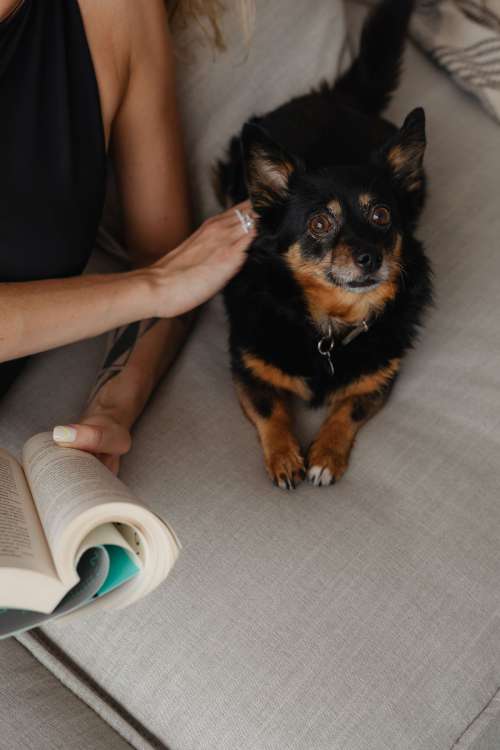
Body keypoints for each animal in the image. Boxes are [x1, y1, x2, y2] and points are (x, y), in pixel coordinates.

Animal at [217, 0, 432, 490]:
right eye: (319, 223)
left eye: (381, 216)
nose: (370, 257)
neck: (331, 327)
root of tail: (339, 98)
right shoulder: (247, 368)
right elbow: (271, 410)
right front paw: (284, 457)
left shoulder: (379, 378)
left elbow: (347, 411)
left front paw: (325, 457)